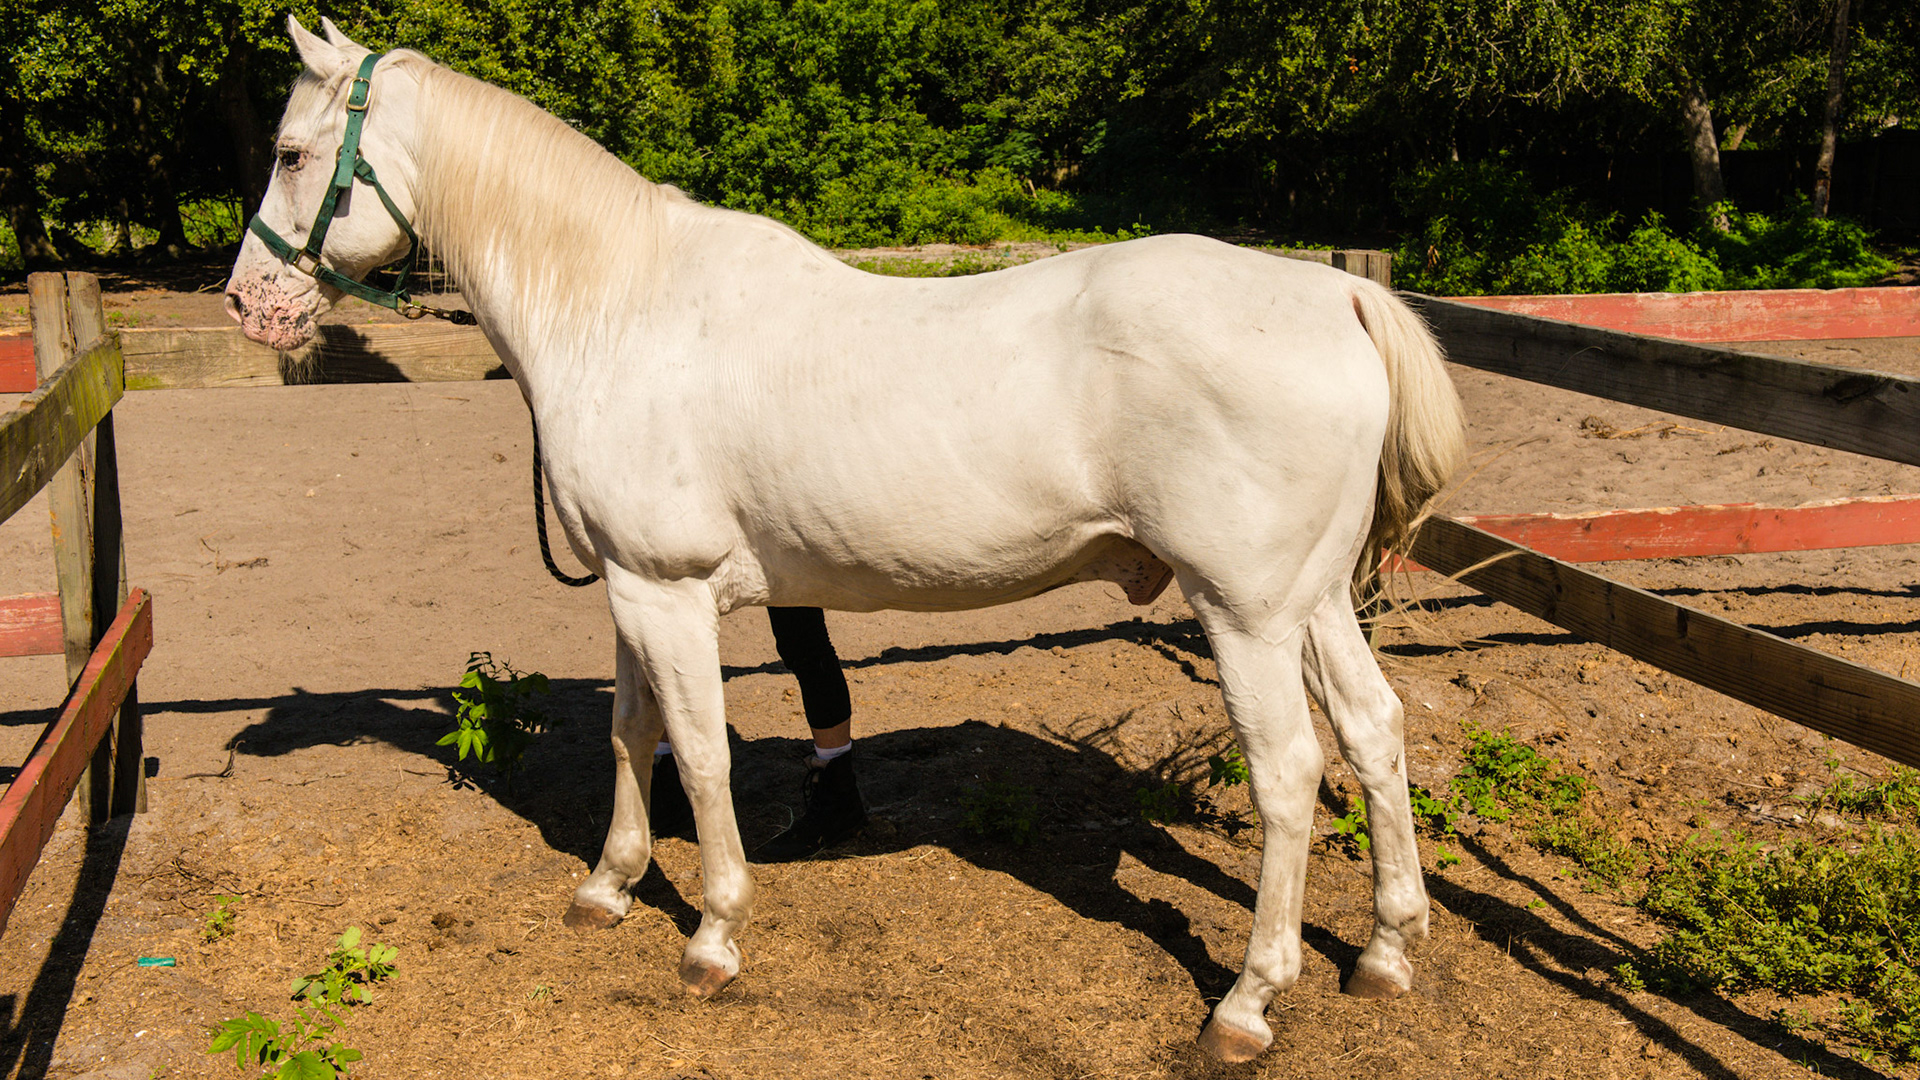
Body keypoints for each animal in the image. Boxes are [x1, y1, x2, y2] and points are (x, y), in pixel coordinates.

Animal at [226, 17, 1466, 1062]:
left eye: (288, 152)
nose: (246, 304)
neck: (620, 308)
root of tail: (1334, 297)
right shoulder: (628, 588)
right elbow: (633, 735)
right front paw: (608, 887)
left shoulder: (668, 591)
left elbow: (701, 753)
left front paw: (712, 938)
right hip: (1310, 604)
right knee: (1375, 733)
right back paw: (1386, 953)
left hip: (1244, 613)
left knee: (1290, 772)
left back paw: (1248, 1005)